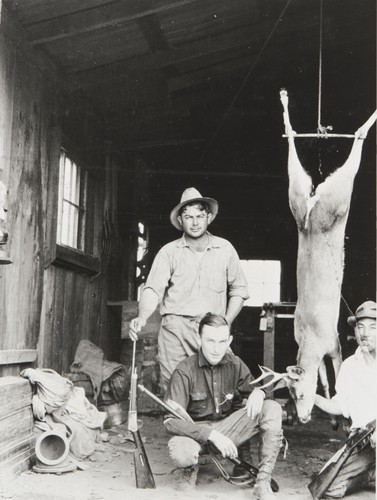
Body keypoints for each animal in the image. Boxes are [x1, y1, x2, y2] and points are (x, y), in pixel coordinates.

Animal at [250, 92, 376, 424]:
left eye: (300, 393)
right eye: (291, 394)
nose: (304, 417)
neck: (310, 337)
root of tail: (310, 216)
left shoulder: (334, 342)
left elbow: (336, 374)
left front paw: (338, 417)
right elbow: (324, 378)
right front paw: (332, 418)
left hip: (336, 199)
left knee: (355, 144)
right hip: (302, 199)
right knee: (296, 152)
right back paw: (286, 105)